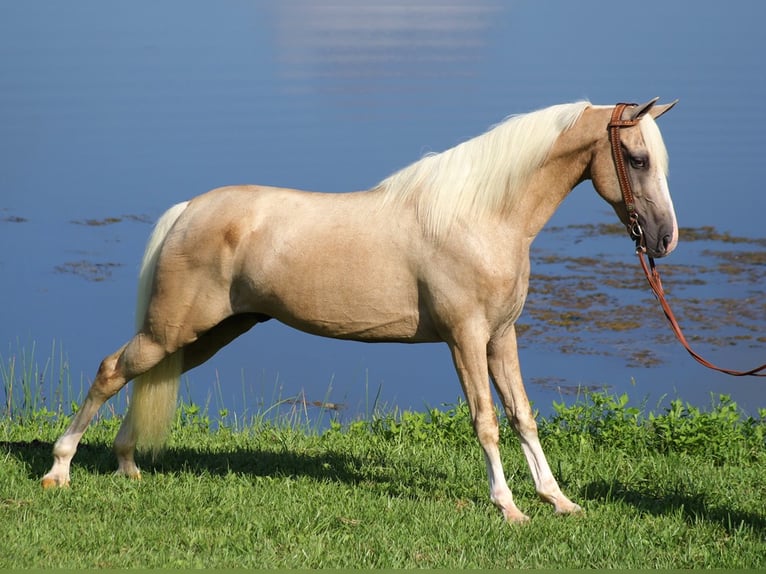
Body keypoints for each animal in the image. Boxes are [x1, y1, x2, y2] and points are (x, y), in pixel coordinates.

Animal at [40, 100, 680, 528]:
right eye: (636, 158)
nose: (664, 239)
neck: (481, 216)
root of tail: (187, 210)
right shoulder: (465, 337)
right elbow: (487, 421)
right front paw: (510, 508)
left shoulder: (502, 337)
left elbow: (523, 415)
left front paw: (558, 499)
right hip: (174, 328)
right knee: (110, 371)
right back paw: (59, 470)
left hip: (204, 335)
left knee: (140, 374)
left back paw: (127, 465)